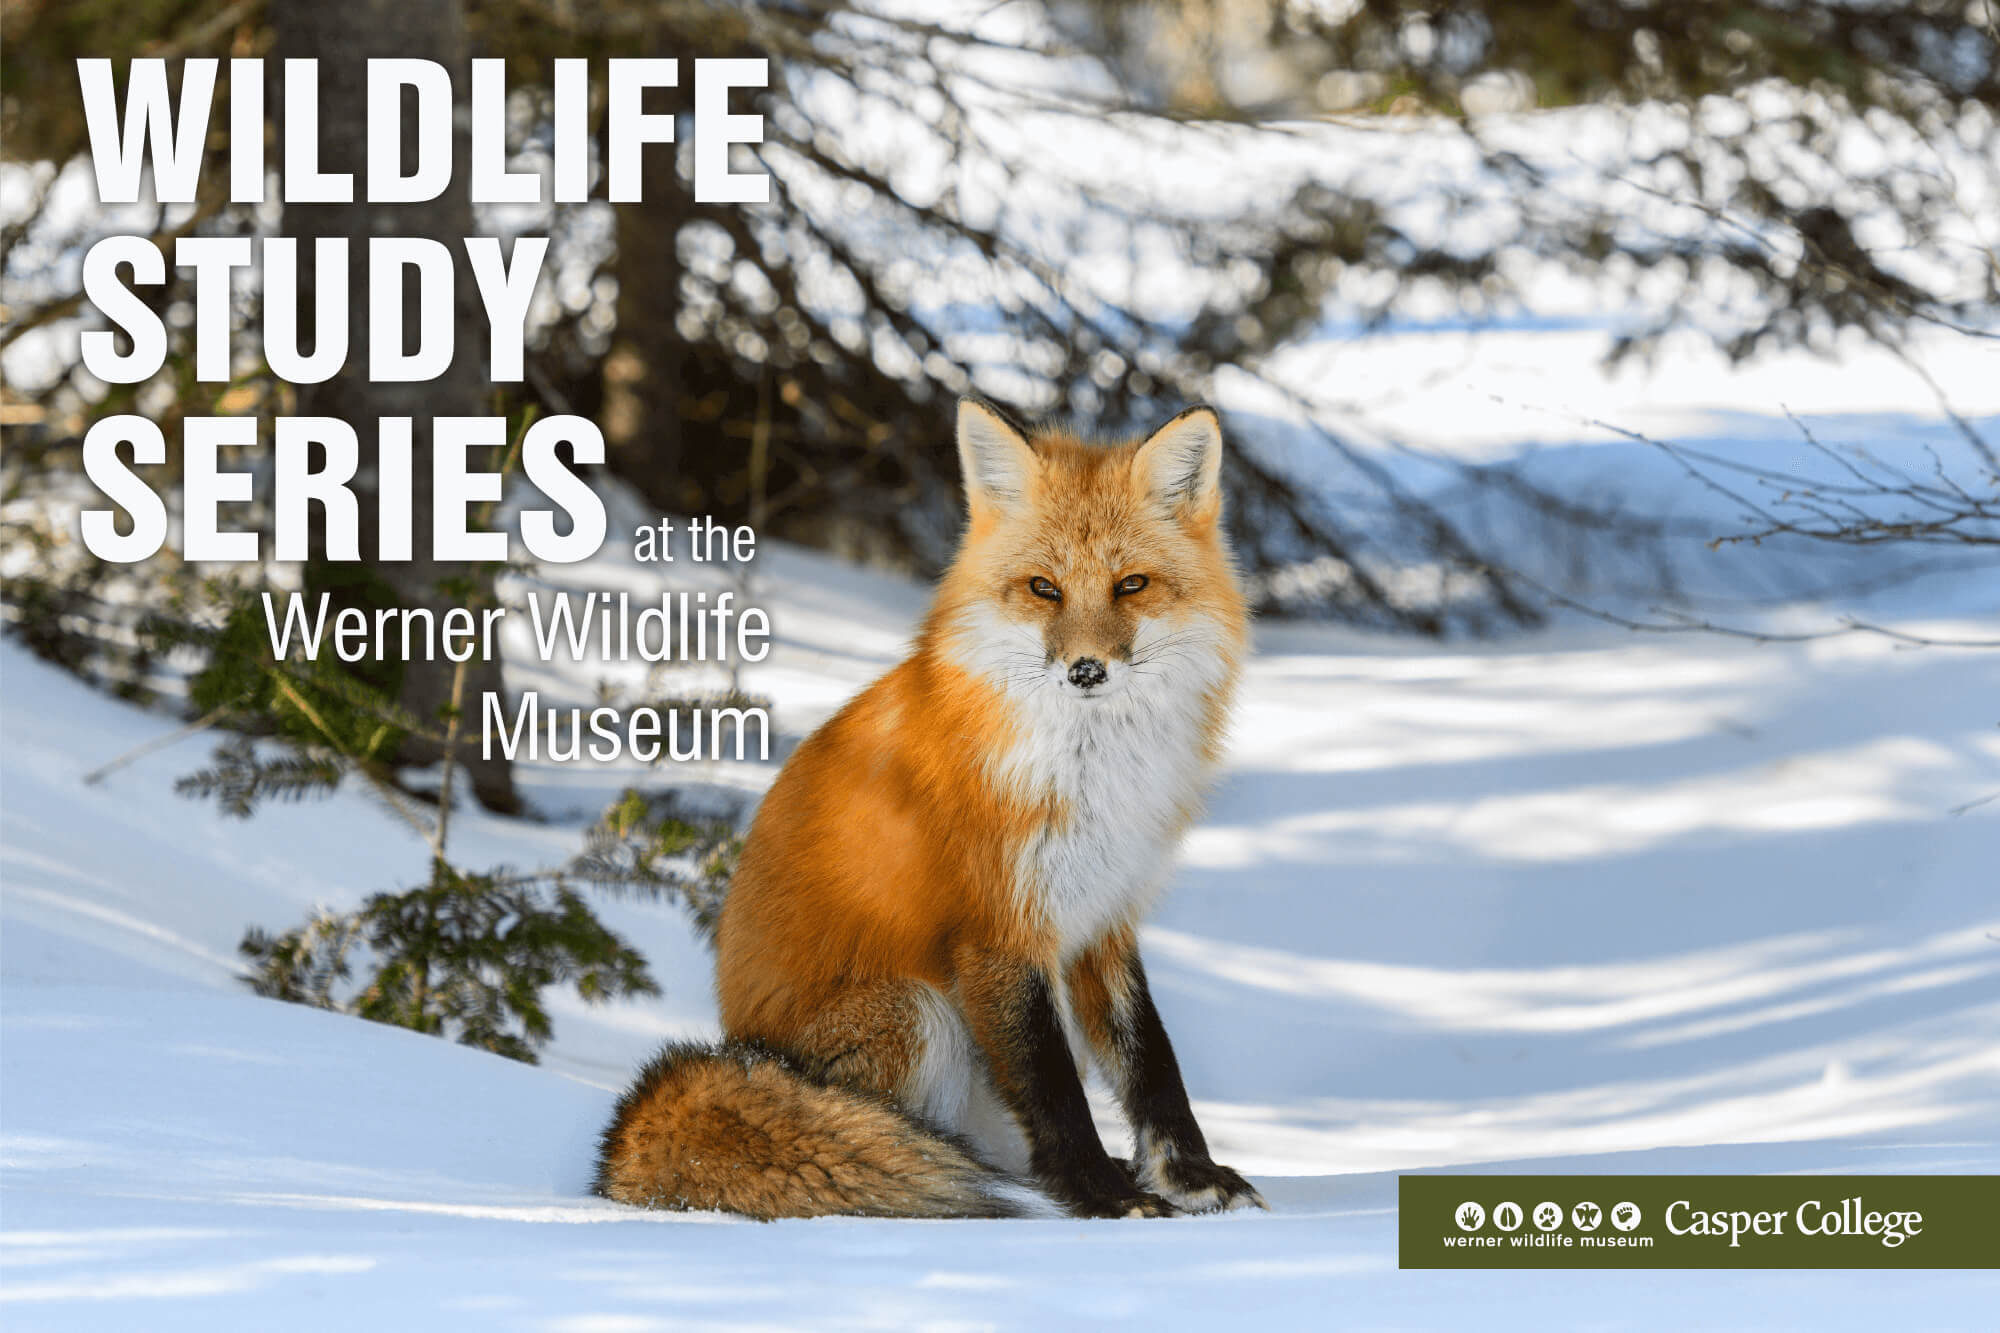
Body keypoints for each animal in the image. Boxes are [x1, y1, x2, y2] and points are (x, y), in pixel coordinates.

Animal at [584, 396, 1264, 1216]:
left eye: (1131, 584)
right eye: (1044, 588)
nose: (1086, 670)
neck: (1090, 776)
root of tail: (741, 1043)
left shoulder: (1105, 917)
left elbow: (1152, 1066)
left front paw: (1189, 1176)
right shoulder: (999, 930)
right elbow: (1054, 1088)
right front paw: (1102, 1195)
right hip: (918, 1012)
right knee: (912, 1134)